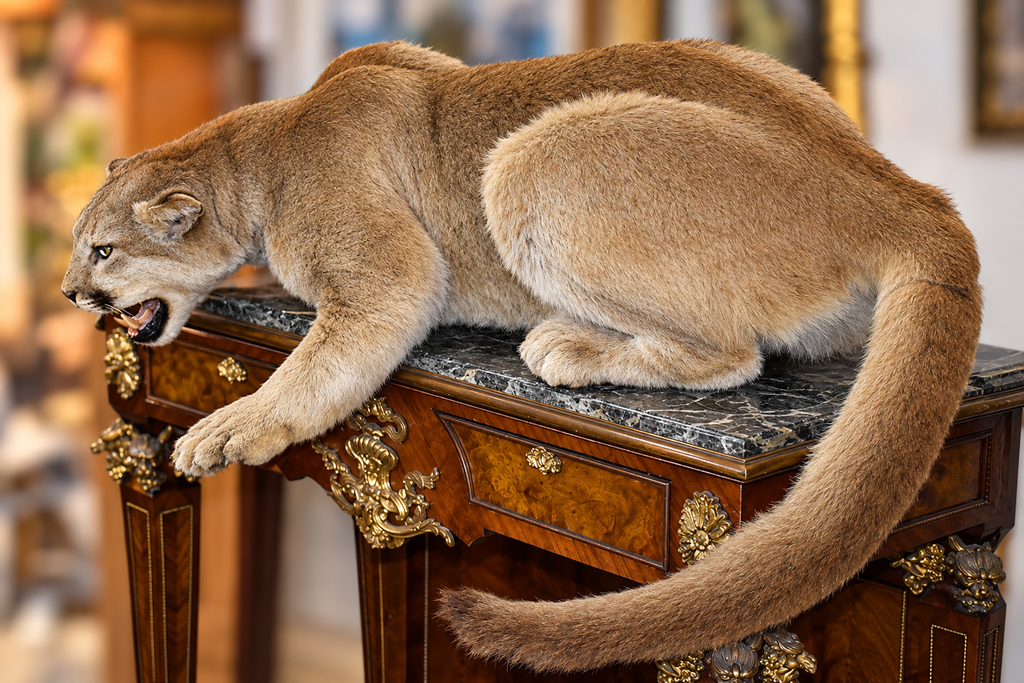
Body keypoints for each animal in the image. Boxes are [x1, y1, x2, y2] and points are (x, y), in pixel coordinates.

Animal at [61, 40, 981, 672]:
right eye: (79, 245)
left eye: (103, 250)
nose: (70, 291)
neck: (263, 156)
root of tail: (904, 191)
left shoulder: (391, 273)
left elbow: (309, 371)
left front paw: (228, 425)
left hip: (531, 157)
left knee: (733, 355)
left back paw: (564, 344)